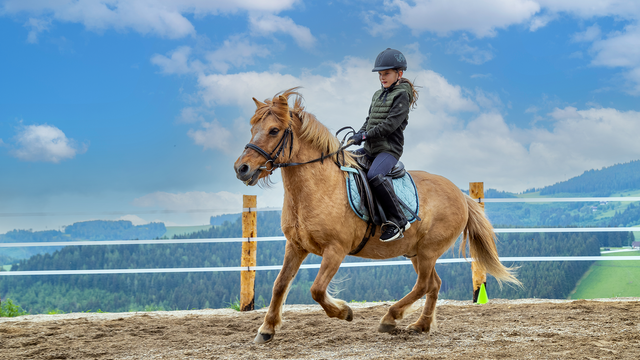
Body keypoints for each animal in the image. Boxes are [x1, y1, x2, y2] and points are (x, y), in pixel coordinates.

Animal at [235, 87, 520, 344]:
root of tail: (461, 195)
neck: (318, 187)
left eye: (274, 130)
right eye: (252, 129)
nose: (242, 168)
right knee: (434, 284)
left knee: (424, 284)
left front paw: (344, 312)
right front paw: (266, 330)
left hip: (429, 250)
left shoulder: (335, 250)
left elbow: (316, 290)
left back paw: (390, 318)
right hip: (416, 252)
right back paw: (420, 325)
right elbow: (280, 284)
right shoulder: (295, 246)